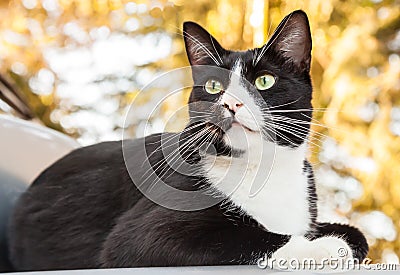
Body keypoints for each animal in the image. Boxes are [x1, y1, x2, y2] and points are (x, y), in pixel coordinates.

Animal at [7, 10, 368, 272]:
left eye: (264, 81)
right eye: (212, 86)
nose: (230, 104)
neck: (260, 168)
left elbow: (356, 233)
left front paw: (338, 238)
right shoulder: (140, 235)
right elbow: (243, 235)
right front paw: (321, 247)